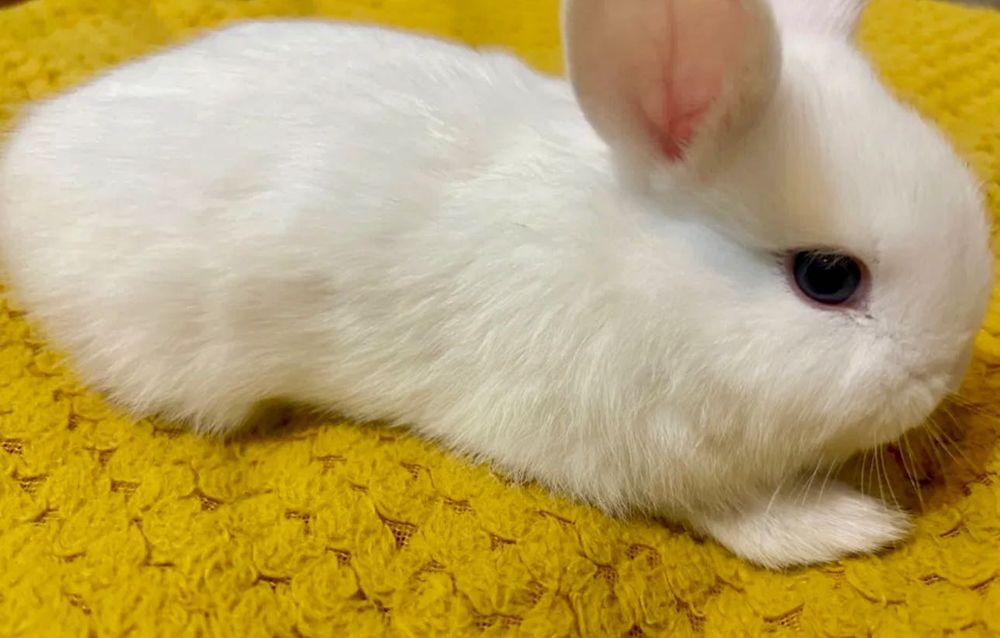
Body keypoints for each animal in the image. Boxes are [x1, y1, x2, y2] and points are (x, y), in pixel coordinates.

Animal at [0, 0, 993, 568]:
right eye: (828, 277)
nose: (944, 371)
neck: (637, 273)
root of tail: (27, 162)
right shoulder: (651, 457)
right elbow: (741, 514)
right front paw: (848, 528)